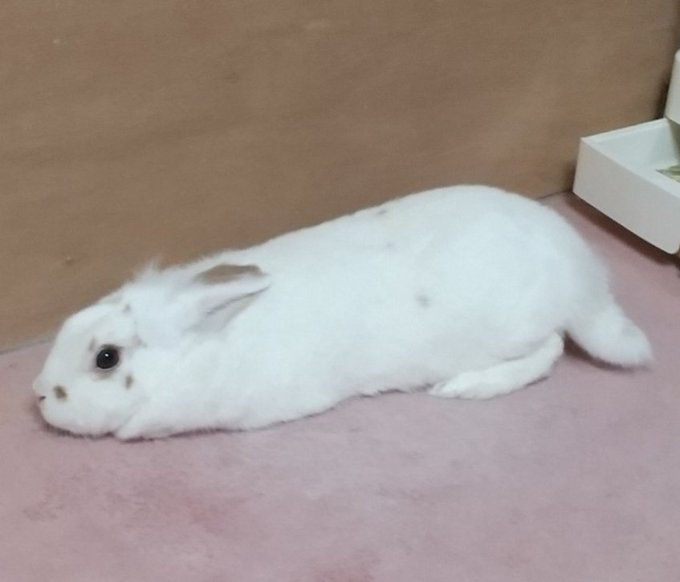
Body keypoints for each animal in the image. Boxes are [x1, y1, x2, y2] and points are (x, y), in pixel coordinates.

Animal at [32, 185, 652, 440]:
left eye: (107, 358)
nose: (38, 395)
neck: (209, 345)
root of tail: (579, 270)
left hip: (515, 328)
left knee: (549, 350)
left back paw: (464, 387)